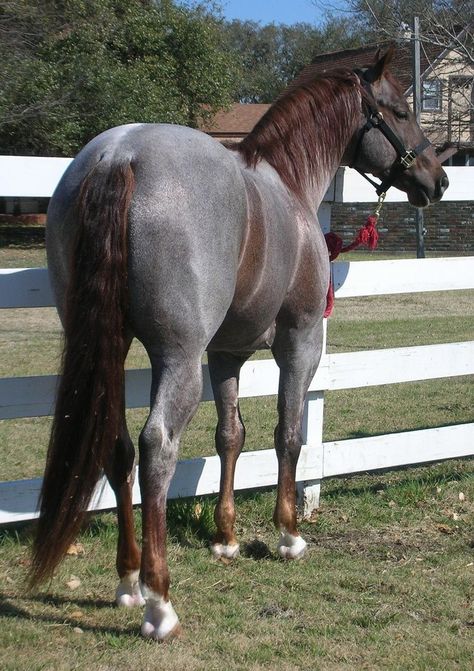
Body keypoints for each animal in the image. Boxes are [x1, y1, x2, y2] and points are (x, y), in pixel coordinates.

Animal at [29, 48, 448, 640]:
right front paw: (288, 533)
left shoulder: (225, 354)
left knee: (118, 446)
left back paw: (129, 581)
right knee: (157, 445)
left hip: (112, 347)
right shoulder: (300, 343)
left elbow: (231, 435)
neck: (289, 186)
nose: (439, 179)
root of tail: (120, 155)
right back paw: (159, 602)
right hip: (177, 356)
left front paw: (225, 538)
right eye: (403, 109)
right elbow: (287, 434)